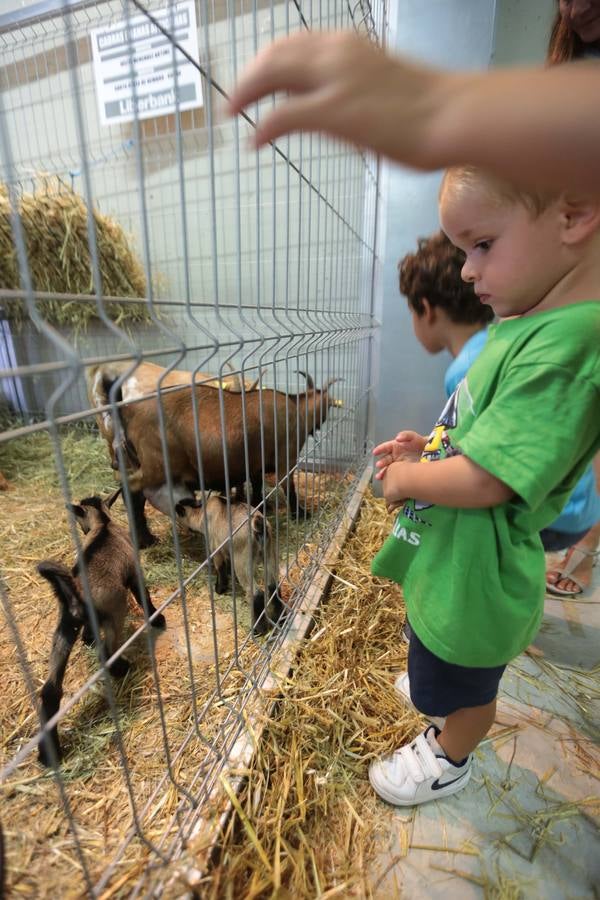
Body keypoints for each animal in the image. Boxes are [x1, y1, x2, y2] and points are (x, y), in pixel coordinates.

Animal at [37, 492, 164, 768]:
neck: (103, 525)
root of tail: (75, 593)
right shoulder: (134, 572)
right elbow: (143, 595)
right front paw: (157, 618)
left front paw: (88, 639)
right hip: (115, 612)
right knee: (106, 654)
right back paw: (122, 667)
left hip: (64, 629)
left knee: (50, 690)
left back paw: (48, 754)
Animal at [173, 496, 282, 636]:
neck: (202, 513)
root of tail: (258, 523)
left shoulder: (216, 549)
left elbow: (220, 569)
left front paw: (219, 589)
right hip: (268, 553)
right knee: (273, 585)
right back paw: (279, 618)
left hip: (242, 562)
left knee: (256, 593)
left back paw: (258, 630)